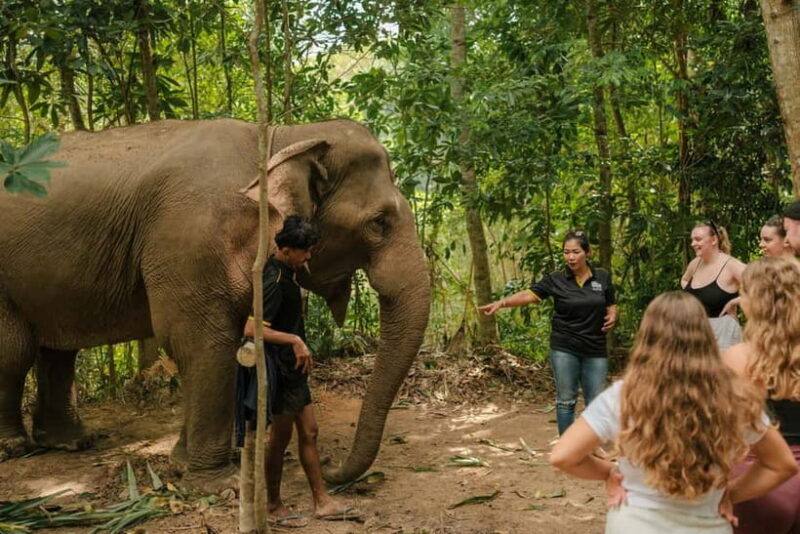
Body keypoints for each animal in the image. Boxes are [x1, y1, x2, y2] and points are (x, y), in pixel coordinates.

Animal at [0, 118, 431, 488]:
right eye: (379, 223)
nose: (329, 463)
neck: (281, 137)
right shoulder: (193, 240)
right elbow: (201, 343)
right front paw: (215, 479)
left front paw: (181, 461)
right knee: (15, 350)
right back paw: (15, 448)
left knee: (57, 350)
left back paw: (70, 443)